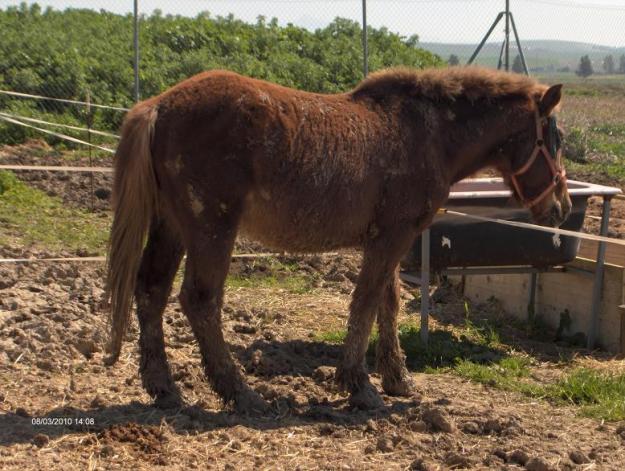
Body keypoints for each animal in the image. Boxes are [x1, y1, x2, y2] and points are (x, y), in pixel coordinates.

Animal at [106, 66, 572, 412]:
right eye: (557, 140)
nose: (563, 207)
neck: (426, 134)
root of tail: (158, 105)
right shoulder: (392, 237)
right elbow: (365, 302)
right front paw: (359, 385)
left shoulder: (388, 240)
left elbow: (387, 303)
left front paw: (397, 379)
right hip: (211, 229)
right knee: (200, 301)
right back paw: (240, 393)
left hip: (171, 227)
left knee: (151, 291)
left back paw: (164, 388)